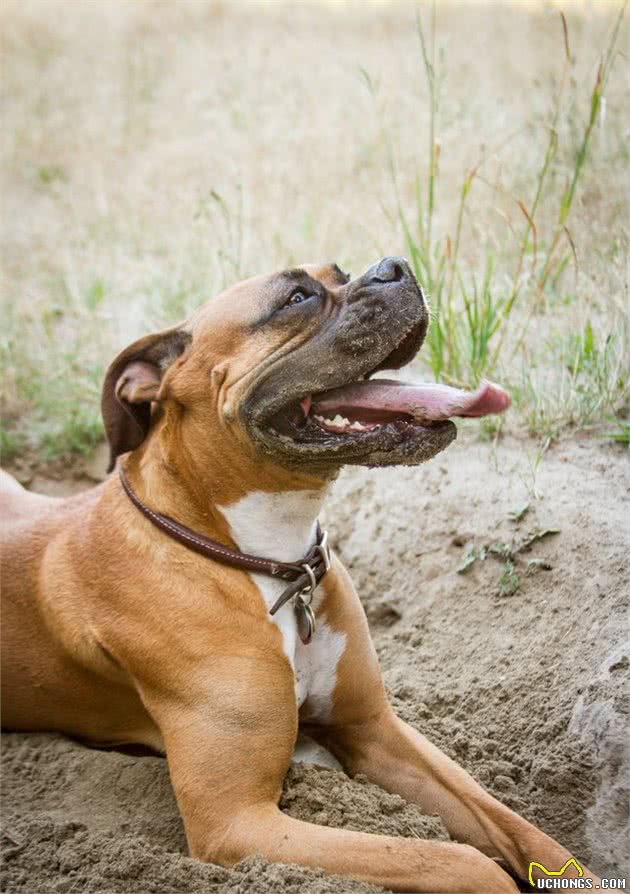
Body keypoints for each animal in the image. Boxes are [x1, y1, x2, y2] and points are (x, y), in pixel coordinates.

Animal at [1, 260, 604, 894]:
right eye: (296, 298)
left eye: (340, 272)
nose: (394, 266)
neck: (265, 560)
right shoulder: (238, 821)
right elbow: (452, 859)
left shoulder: (377, 731)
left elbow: (520, 829)